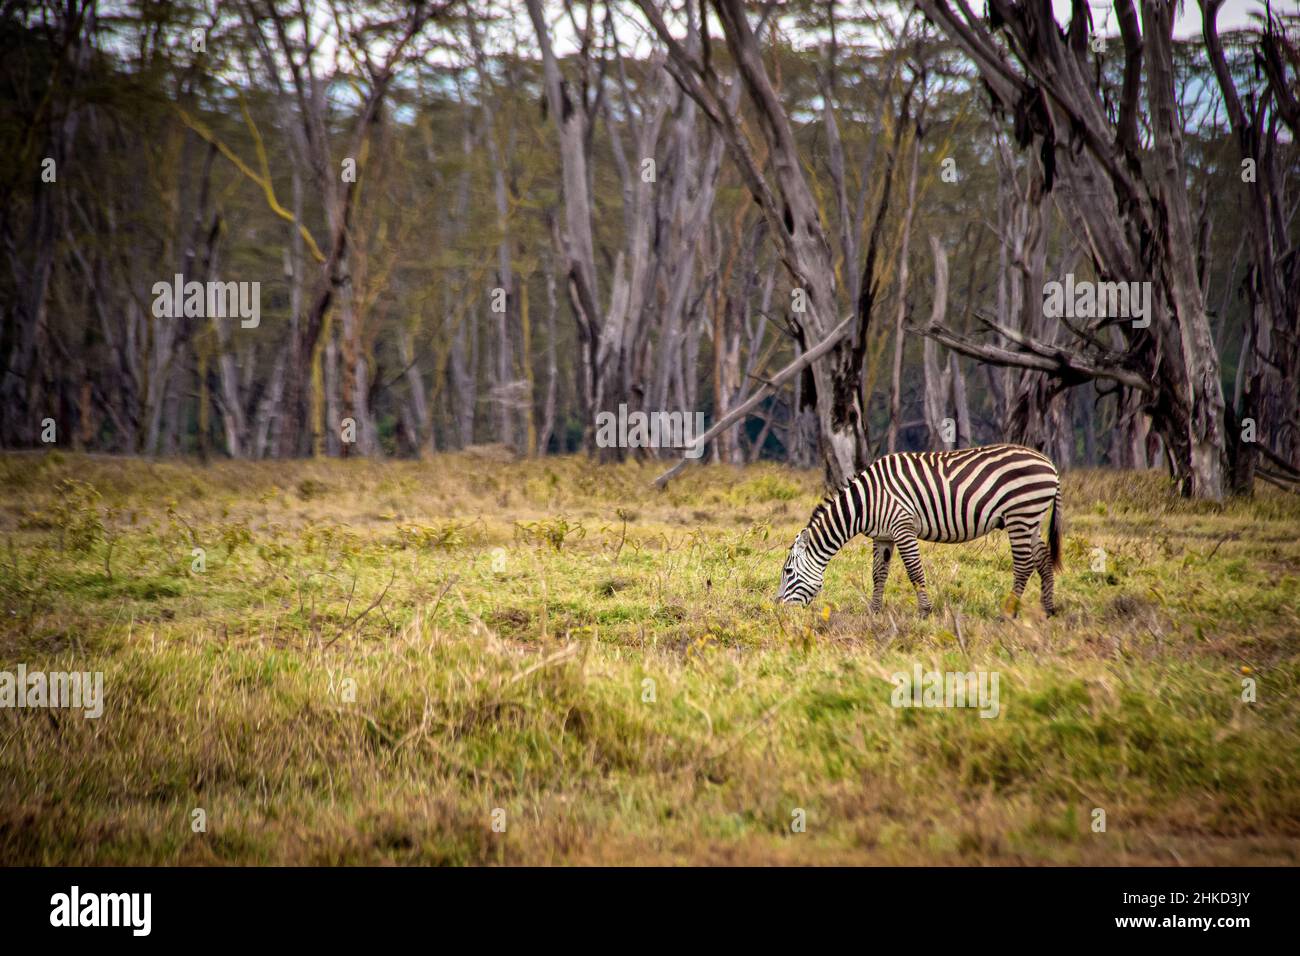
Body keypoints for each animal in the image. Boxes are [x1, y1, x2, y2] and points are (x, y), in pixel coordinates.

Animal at [774, 444, 1060, 616]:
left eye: (788, 572)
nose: (778, 610)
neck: (865, 502)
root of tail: (1049, 464)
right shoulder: (883, 536)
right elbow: (878, 574)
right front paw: (874, 612)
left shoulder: (903, 526)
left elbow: (914, 570)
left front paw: (925, 612)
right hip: (1031, 519)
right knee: (1043, 559)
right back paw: (1048, 610)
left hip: (1020, 515)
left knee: (1023, 564)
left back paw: (1007, 613)